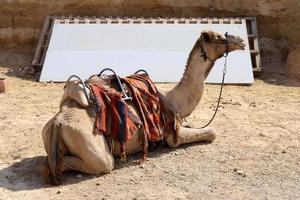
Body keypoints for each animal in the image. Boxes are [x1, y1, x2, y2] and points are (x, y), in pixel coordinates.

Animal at [41, 30, 245, 185]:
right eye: (220, 37)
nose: (242, 41)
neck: (174, 100)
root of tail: (58, 123)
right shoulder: (173, 135)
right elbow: (211, 132)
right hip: (90, 144)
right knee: (98, 162)